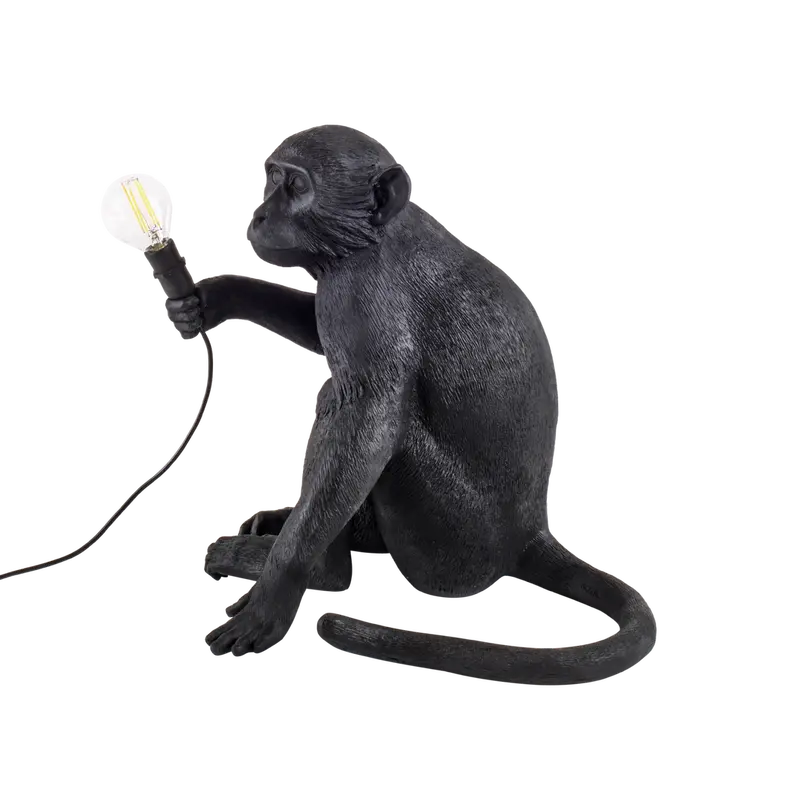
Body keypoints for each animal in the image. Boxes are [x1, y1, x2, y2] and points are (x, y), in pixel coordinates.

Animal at [166, 124, 657, 686]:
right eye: (271, 178)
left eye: (296, 186)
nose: (260, 214)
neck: (375, 239)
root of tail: (525, 535)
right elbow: (317, 334)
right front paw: (213, 297)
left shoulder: (363, 295)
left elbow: (369, 422)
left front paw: (277, 590)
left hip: (448, 544)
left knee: (353, 409)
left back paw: (318, 569)